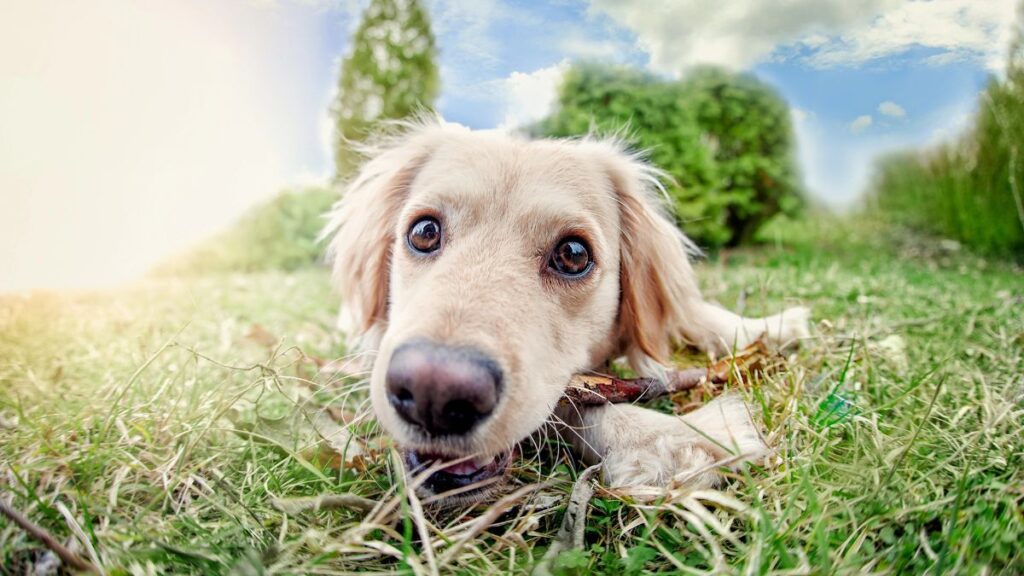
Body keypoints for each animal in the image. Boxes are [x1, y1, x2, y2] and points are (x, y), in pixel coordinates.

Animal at [327, 119, 806, 502]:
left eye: (574, 254)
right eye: (424, 231)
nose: (435, 394)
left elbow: (696, 311)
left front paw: (772, 327)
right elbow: (576, 406)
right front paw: (675, 434)